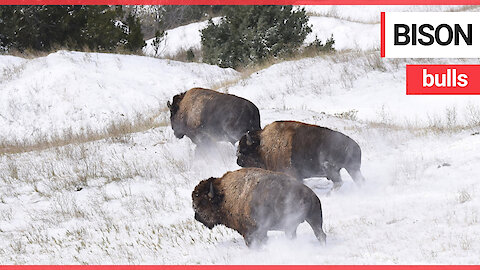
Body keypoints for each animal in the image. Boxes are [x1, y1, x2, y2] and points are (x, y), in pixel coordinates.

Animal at [192, 168, 326, 248]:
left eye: (202, 202)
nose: (196, 216)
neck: (224, 194)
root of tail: (309, 194)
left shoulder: (250, 232)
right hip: (312, 220)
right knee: (319, 234)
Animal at [237, 120, 368, 190]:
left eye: (244, 150)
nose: (238, 161)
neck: (262, 145)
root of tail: (355, 146)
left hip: (332, 169)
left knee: (339, 182)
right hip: (351, 169)